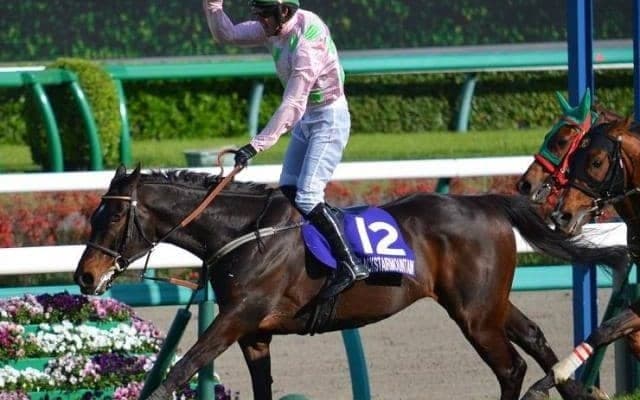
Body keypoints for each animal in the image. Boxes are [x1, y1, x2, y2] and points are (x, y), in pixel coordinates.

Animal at [74, 165, 629, 400]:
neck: (243, 233)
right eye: (94, 214)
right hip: (488, 303)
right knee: (534, 339)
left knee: (510, 368)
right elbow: (260, 387)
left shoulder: (238, 317)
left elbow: (180, 369)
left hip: (474, 314)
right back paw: (576, 390)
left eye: (112, 217)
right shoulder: (255, 334)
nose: (84, 276)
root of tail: (485, 202)